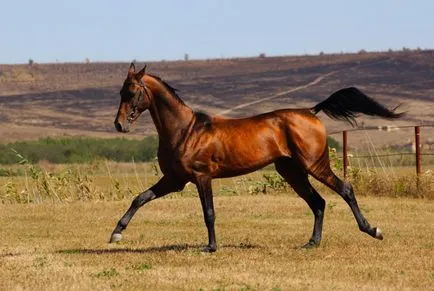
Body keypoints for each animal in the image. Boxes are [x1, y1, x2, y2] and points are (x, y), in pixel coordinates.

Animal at [111, 62, 404, 252]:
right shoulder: (174, 180)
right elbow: (140, 198)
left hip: (314, 165)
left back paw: (373, 230)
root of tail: (311, 112)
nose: (119, 125)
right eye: (120, 92)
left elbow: (209, 212)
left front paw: (211, 247)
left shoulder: (201, 177)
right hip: (292, 171)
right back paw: (312, 243)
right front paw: (116, 234)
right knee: (318, 202)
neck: (186, 130)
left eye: (133, 92)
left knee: (345, 190)